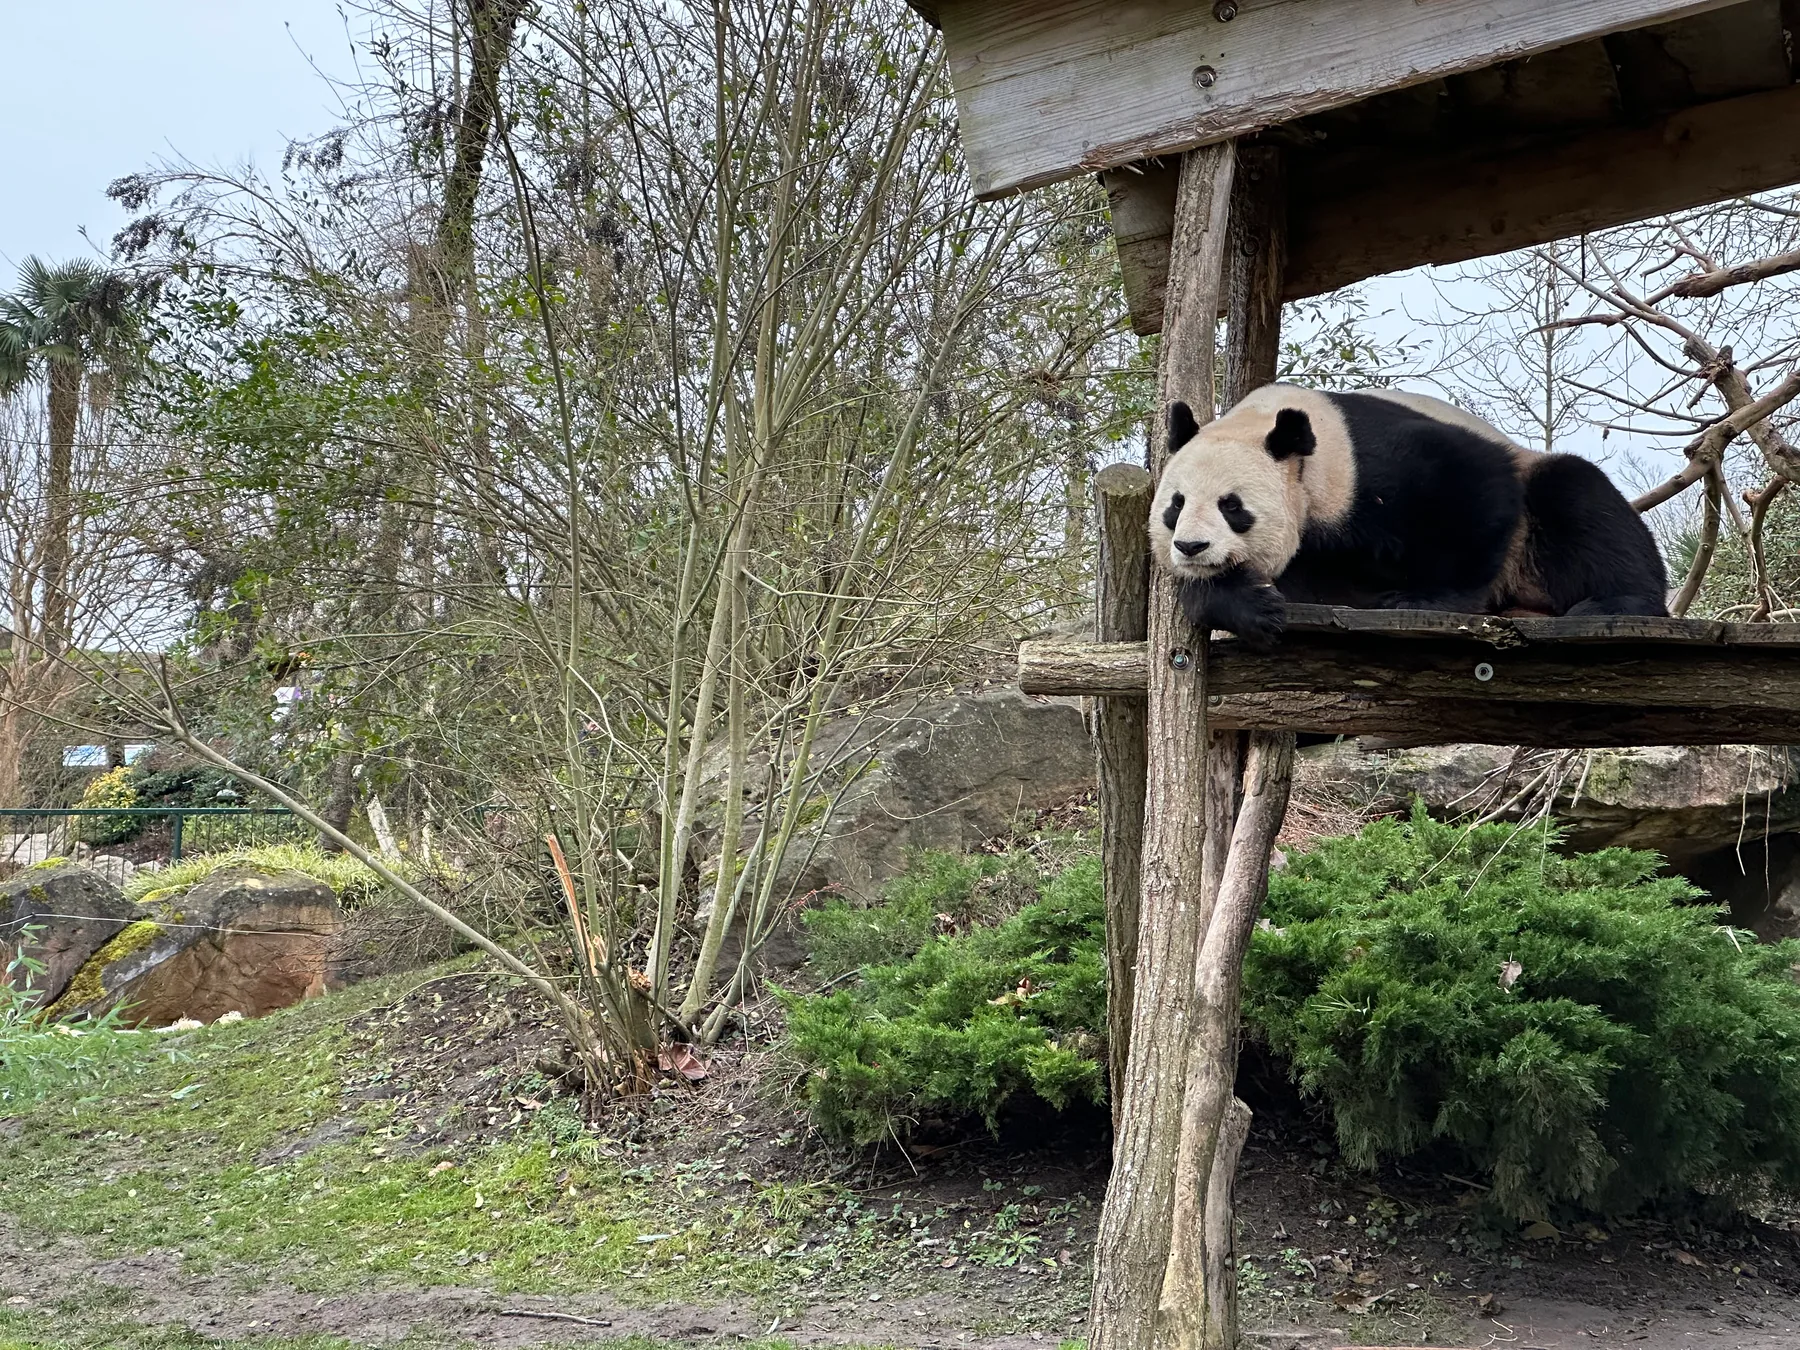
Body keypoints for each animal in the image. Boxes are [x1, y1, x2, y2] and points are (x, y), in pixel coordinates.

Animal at [1148, 384, 1668, 648]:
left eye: (1232, 506)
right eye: (1176, 505)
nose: (1191, 547)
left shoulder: (1364, 465)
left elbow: (1473, 492)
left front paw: (1423, 598)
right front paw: (1253, 605)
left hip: (1535, 512)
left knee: (1581, 501)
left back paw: (1614, 604)